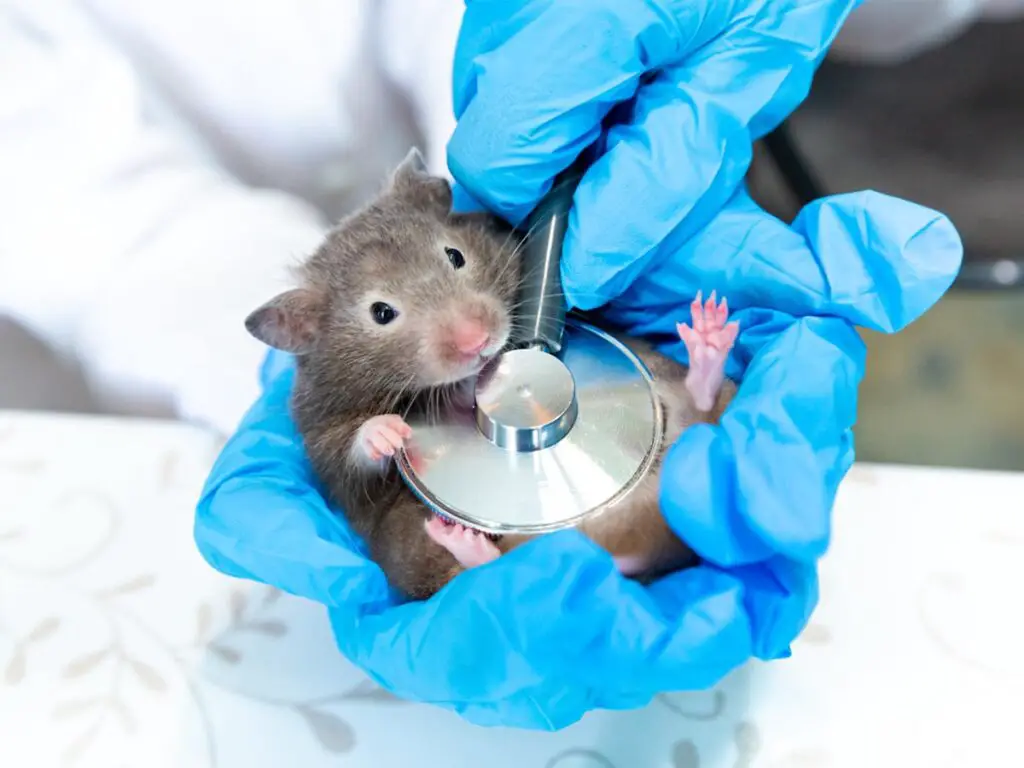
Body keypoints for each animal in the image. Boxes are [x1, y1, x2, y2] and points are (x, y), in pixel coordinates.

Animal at [243, 145, 741, 602]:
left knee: (701, 405)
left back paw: (709, 335)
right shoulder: (323, 439)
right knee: (479, 570)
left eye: (455, 256)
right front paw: (391, 431)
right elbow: (353, 454)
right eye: (381, 313)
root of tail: (621, 549)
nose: (478, 340)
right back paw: (463, 541)